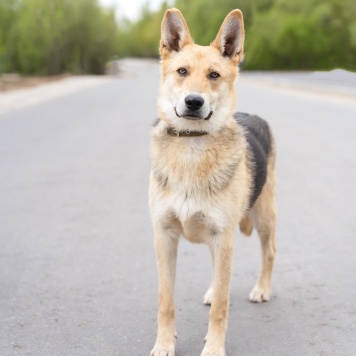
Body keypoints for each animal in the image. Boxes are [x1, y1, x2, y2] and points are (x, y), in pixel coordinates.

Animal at [149, 8, 276, 356]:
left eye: (214, 75)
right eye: (182, 71)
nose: (194, 102)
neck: (192, 148)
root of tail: (254, 116)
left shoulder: (223, 236)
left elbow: (221, 305)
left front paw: (214, 348)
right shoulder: (164, 236)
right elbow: (165, 301)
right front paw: (164, 344)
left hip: (263, 219)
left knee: (269, 253)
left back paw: (262, 289)